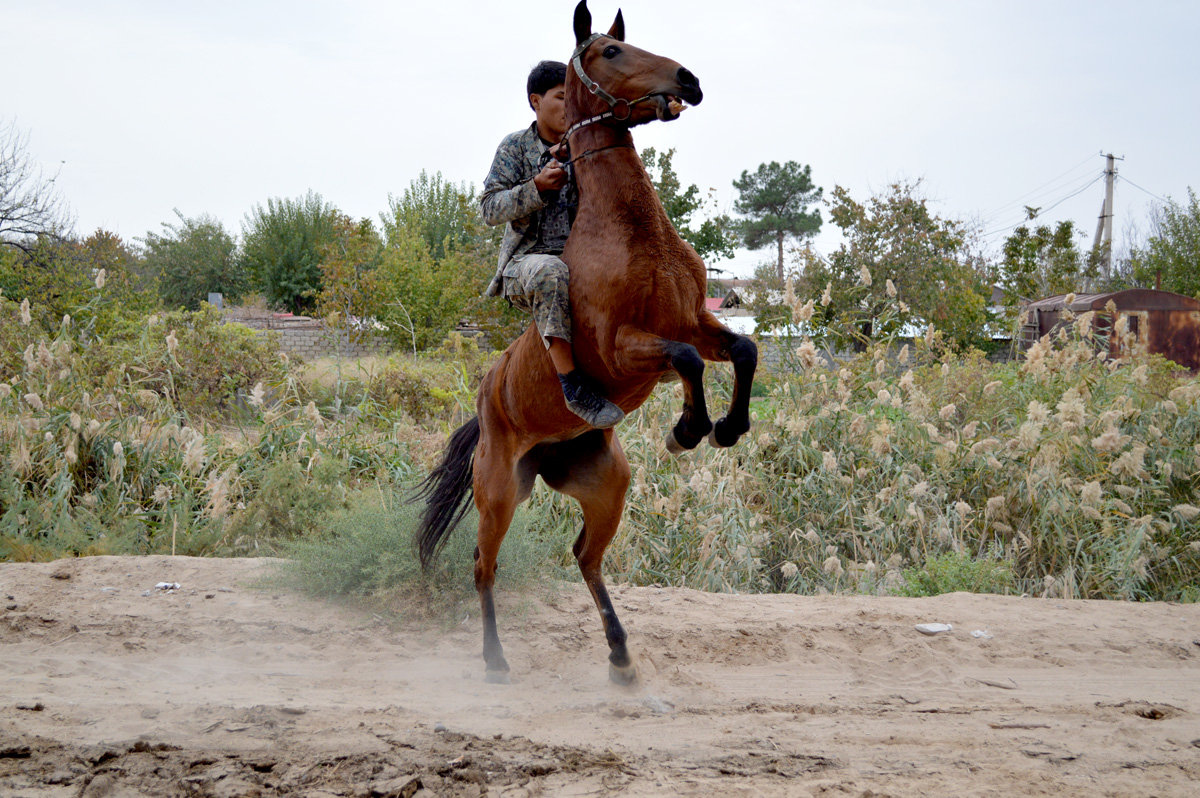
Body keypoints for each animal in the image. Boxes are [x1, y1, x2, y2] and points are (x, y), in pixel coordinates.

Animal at [415, 1, 748, 686]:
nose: (690, 81)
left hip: (605, 487)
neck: (629, 231)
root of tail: (487, 400)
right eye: (611, 53)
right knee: (484, 566)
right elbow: (687, 362)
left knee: (585, 558)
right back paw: (495, 661)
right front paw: (688, 430)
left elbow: (743, 350)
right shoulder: (625, 348)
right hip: (498, 492)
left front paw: (726, 428)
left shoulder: (692, 322)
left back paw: (621, 656)